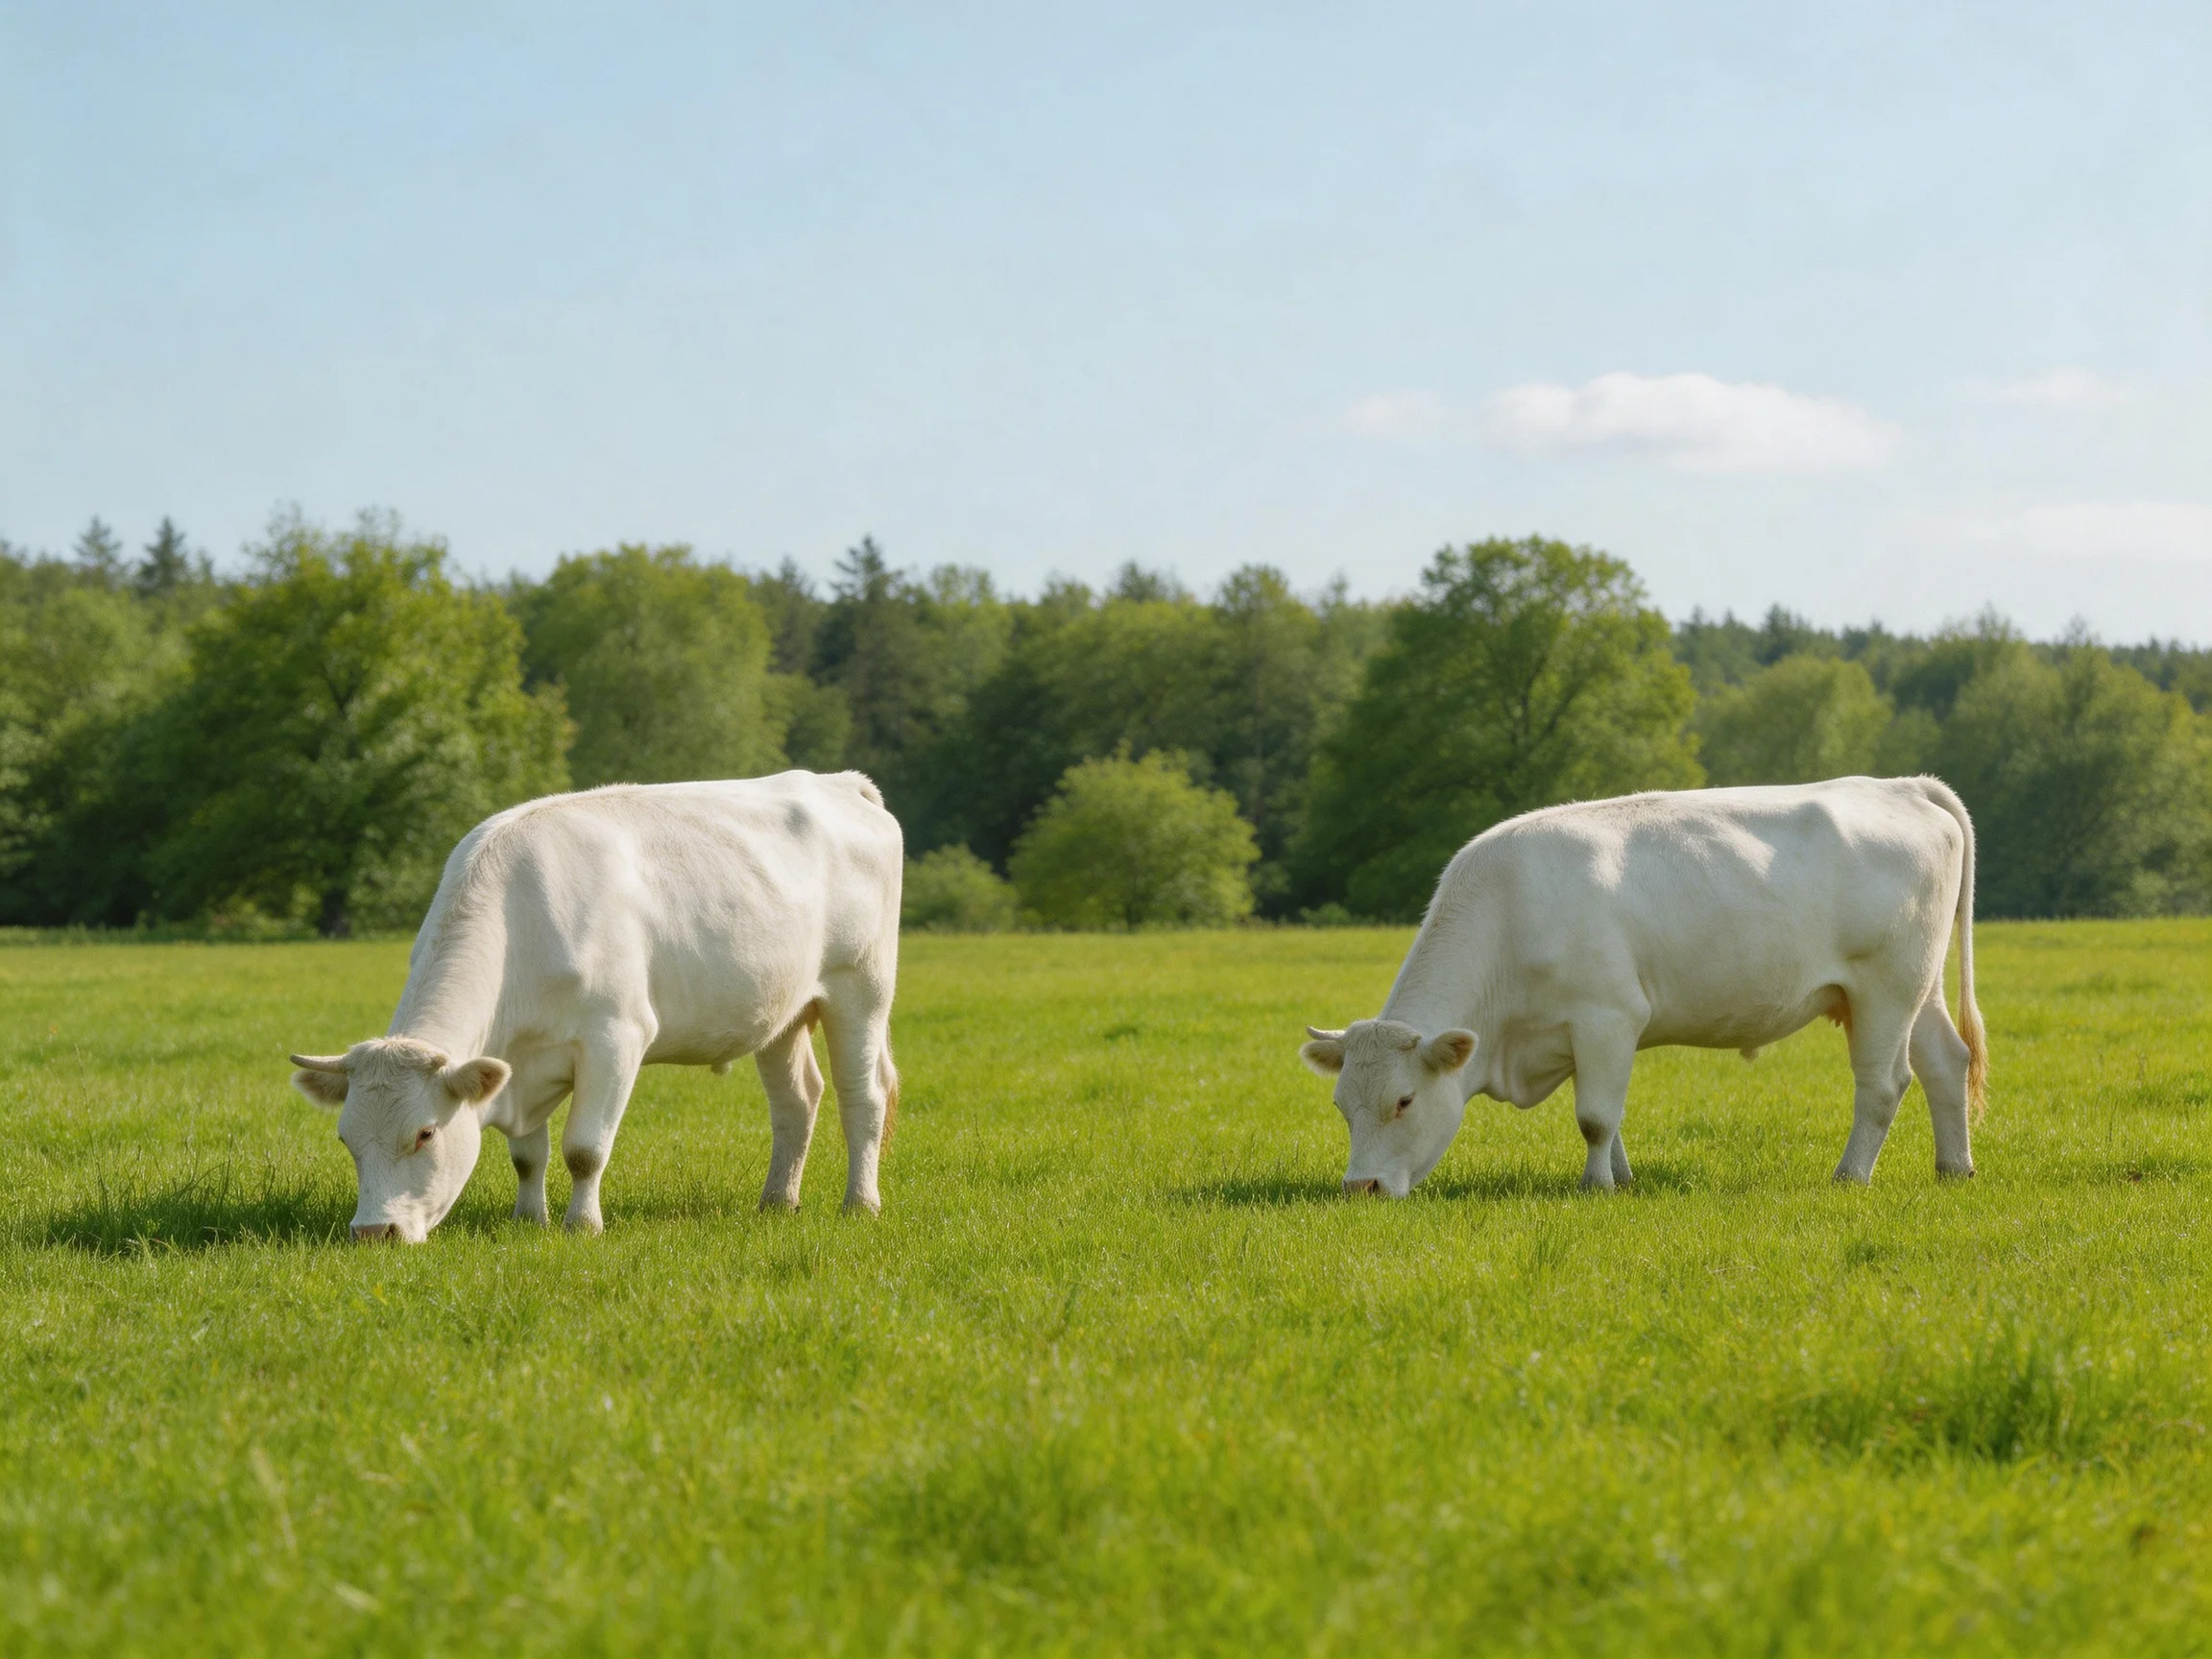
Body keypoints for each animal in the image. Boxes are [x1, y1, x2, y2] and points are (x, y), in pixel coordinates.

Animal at [288, 771, 902, 1242]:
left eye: (425, 1134)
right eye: (345, 1139)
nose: (373, 1232)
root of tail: (840, 782)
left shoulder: (616, 1036)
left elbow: (584, 1150)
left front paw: (581, 1226)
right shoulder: (516, 1065)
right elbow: (527, 1155)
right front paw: (527, 1220)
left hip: (861, 989)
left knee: (862, 1096)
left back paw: (860, 1203)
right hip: (782, 1012)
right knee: (797, 1100)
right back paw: (778, 1201)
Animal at [1299, 776, 1987, 1197]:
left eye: (1405, 1101)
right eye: (1340, 1105)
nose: (1360, 1188)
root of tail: (1900, 785)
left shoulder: (1608, 1015)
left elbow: (1595, 1118)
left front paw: (1596, 1188)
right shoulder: (1587, 1037)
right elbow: (1612, 1117)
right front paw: (1623, 1179)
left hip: (1885, 989)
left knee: (1883, 1085)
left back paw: (1850, 1176)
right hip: (1919, 990)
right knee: (1946, 1063)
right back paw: (1954, 1168)